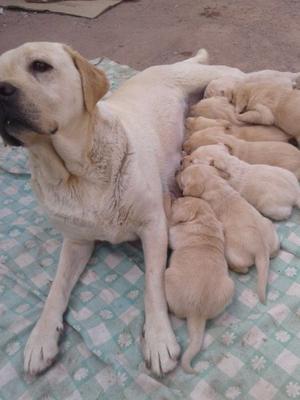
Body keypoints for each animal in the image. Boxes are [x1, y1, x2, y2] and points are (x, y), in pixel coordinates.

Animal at [164, 196, 234, 372]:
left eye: (181, 200)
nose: (176, 196)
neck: (204, 218)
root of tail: (197, 313)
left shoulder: (174, 232)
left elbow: (169, 224)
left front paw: (166, 201)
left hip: (167, 275)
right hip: (229, 287)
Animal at [177, 164, 280, 302]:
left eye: (182, 177)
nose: (176, 172)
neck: (213, 182)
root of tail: (261, 250)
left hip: (230, 252)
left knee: (244, 269)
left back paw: (234, 268)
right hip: (270, 228)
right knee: (274, 252)